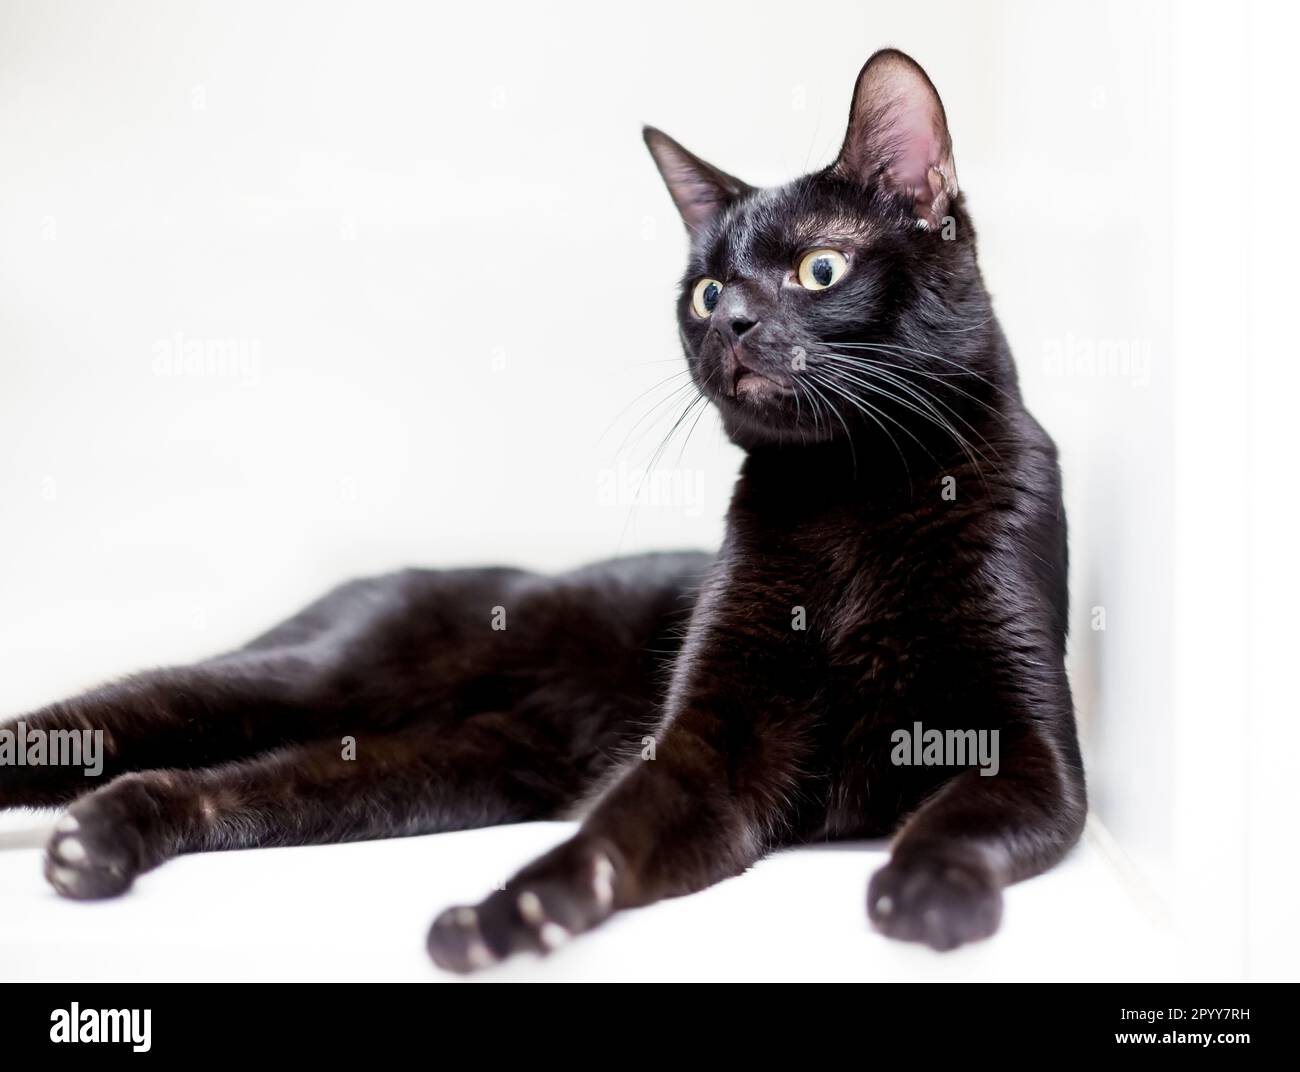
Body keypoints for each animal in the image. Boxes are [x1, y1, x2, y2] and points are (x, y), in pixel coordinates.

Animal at [0, 50, 1086, 971]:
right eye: (703, 291)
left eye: (819, 268)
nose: (732, 321)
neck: (847, 496)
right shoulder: (710, 749)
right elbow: (618, 829)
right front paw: (515, 912)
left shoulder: (1028, 748)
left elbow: (960, 821)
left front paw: (929, 893)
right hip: (307, 674)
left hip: (424, 769)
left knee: (219, 785)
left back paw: (96, 844)